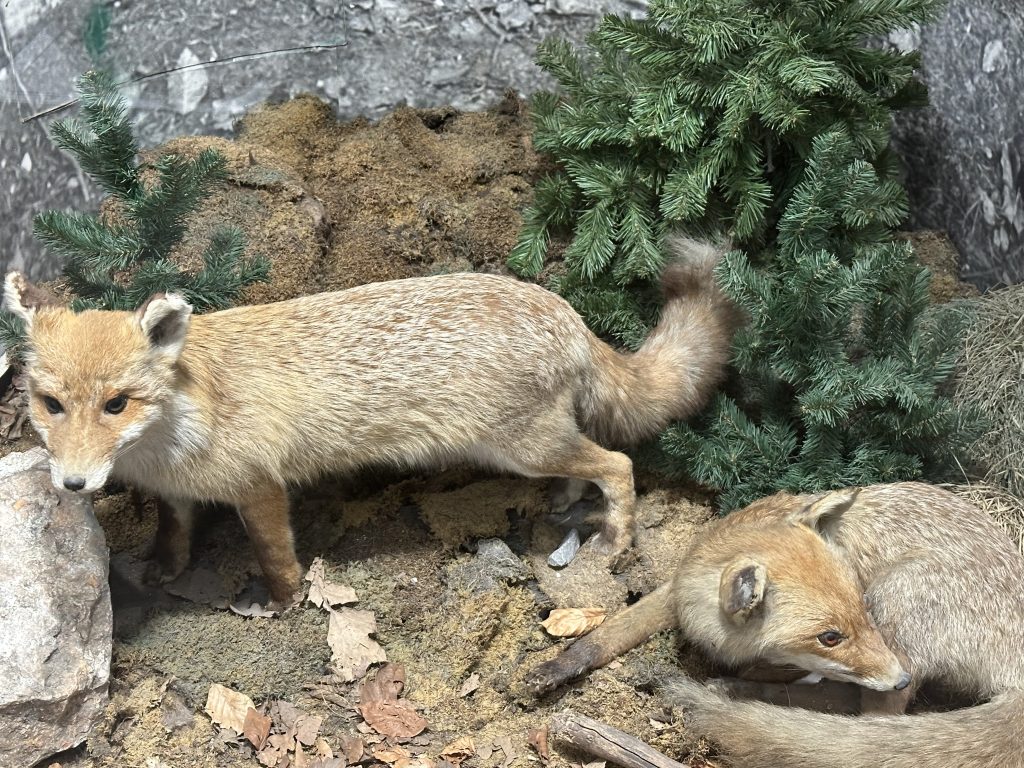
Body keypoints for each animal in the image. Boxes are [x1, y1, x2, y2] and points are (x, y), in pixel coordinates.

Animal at [3, 236, 736, 606]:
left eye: (116, 404)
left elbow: (277, 555)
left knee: (618, 462)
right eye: (51, 405)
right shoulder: (177, 493)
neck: (169, 443)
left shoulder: (259, 486)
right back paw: (564, 503)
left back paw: (617, 536)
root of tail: (566, 313)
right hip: (540, 444)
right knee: (587, 464)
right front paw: (165, 568)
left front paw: (281, 601)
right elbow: (174, 533)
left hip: (523, 446)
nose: (72, 485)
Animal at [529, 483, 1024, 768]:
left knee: (867, 721)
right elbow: (607, 635)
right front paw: (555, 669)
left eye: (860, 606)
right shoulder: (675, 590)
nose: (900, 677)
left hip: (898, 597)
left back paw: (741, 692)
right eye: (830, 636)